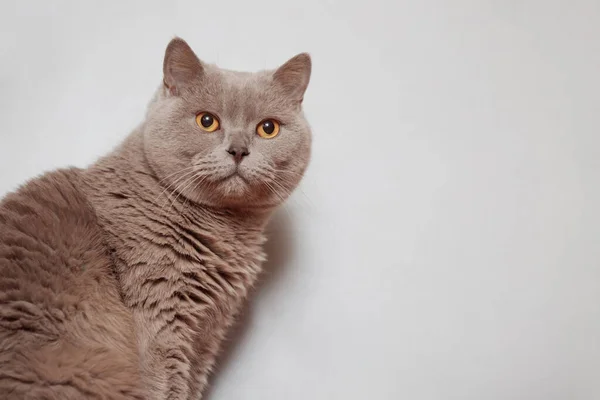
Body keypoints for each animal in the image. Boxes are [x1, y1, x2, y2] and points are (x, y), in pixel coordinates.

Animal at [0, 36, 312, 398]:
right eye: (207, 121)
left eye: (268, 128)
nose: (238, 150)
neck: (225, 230)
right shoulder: (159, 316)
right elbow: (166, 386)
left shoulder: (205, 333)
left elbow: (189, 385)